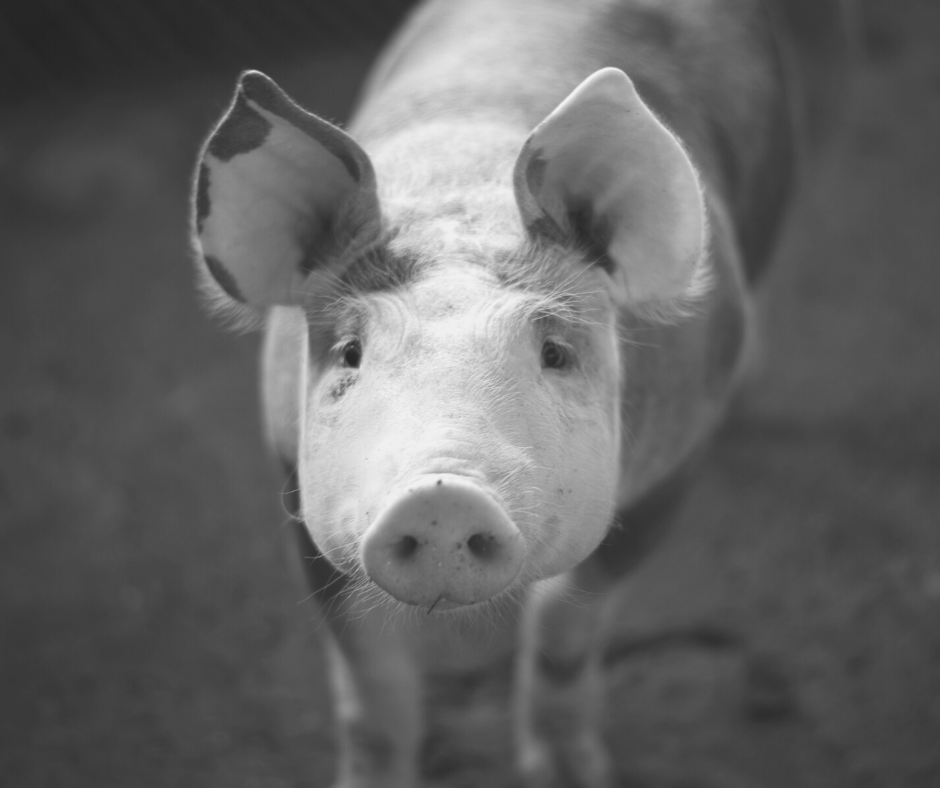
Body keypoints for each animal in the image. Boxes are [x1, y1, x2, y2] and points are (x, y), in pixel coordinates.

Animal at [191, 0, 846, 785]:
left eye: (554, 352)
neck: (464, 194)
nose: (441, 494)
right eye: (351, 352)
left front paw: (569, 772)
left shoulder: (674, 465)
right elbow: (371, 684)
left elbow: (567, 627)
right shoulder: (294, 480)